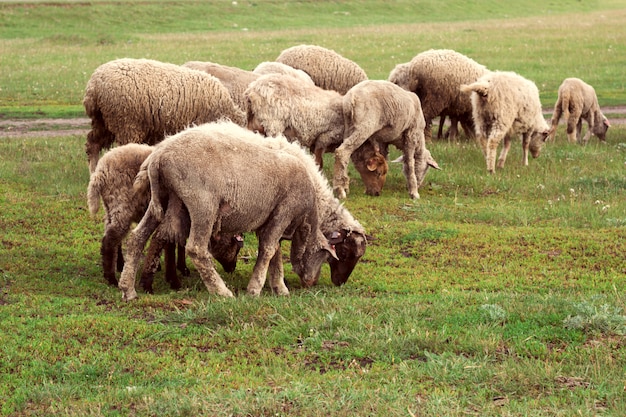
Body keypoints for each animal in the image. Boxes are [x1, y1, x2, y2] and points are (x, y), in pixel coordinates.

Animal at [86, 142, 243, 290]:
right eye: (236, 247)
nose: (232, 269)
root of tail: (100, 171)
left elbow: (177, 244)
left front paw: (181, 269)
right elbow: (171, 245)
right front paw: (174, 278)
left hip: (110, 208)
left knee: (112, 236)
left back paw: (119, 265)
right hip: (121, 205)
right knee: (109, 240)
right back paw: (111, 278)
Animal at [119, 120, 338, 300]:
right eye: (325, 257)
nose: (311, 282)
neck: (306, 219)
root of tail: (158, 155)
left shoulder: (269, 219)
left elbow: (274, 251)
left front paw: (279, 287)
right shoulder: (285, 211)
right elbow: (269, 249)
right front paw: (255, 289)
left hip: (163, 198)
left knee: (137, 238)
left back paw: (128, 290)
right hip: (203, 203)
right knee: (196, 248)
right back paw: (221, 291)